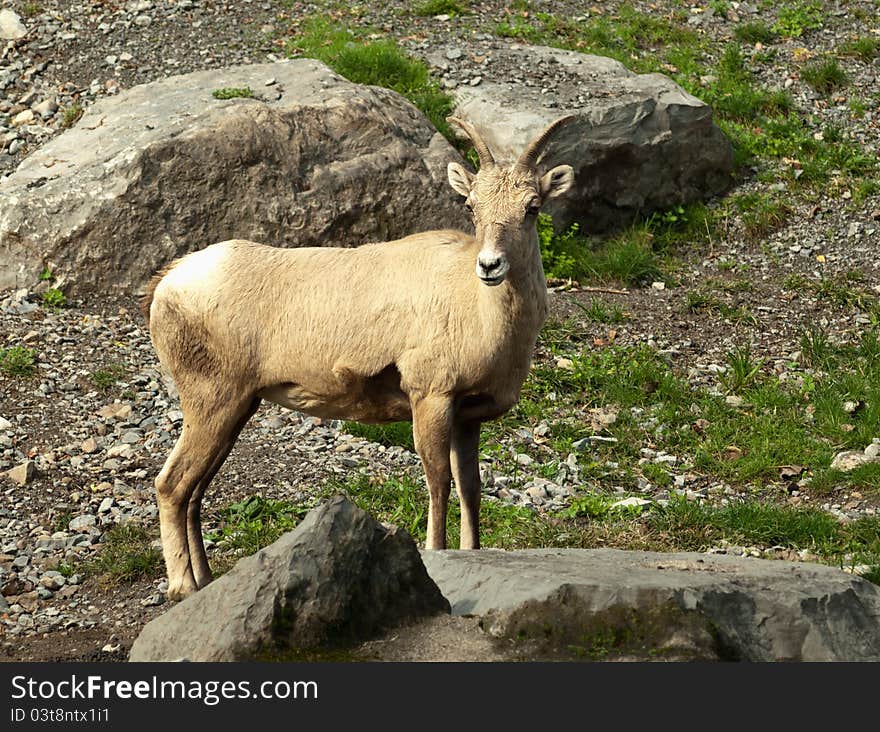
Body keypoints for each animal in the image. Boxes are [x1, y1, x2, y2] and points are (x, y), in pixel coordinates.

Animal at [144, 116, 576, 600]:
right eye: (471, 207)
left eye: (532, 207)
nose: (490, 266)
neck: (480, 311)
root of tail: (168, 283)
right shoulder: (431, 398)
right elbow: (439, 482)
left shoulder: (468, 417)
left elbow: (471, 487)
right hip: (212, 401)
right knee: (172, 485)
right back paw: (183, 586)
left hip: (236, 409)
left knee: (194, 491)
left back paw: (204, 580)